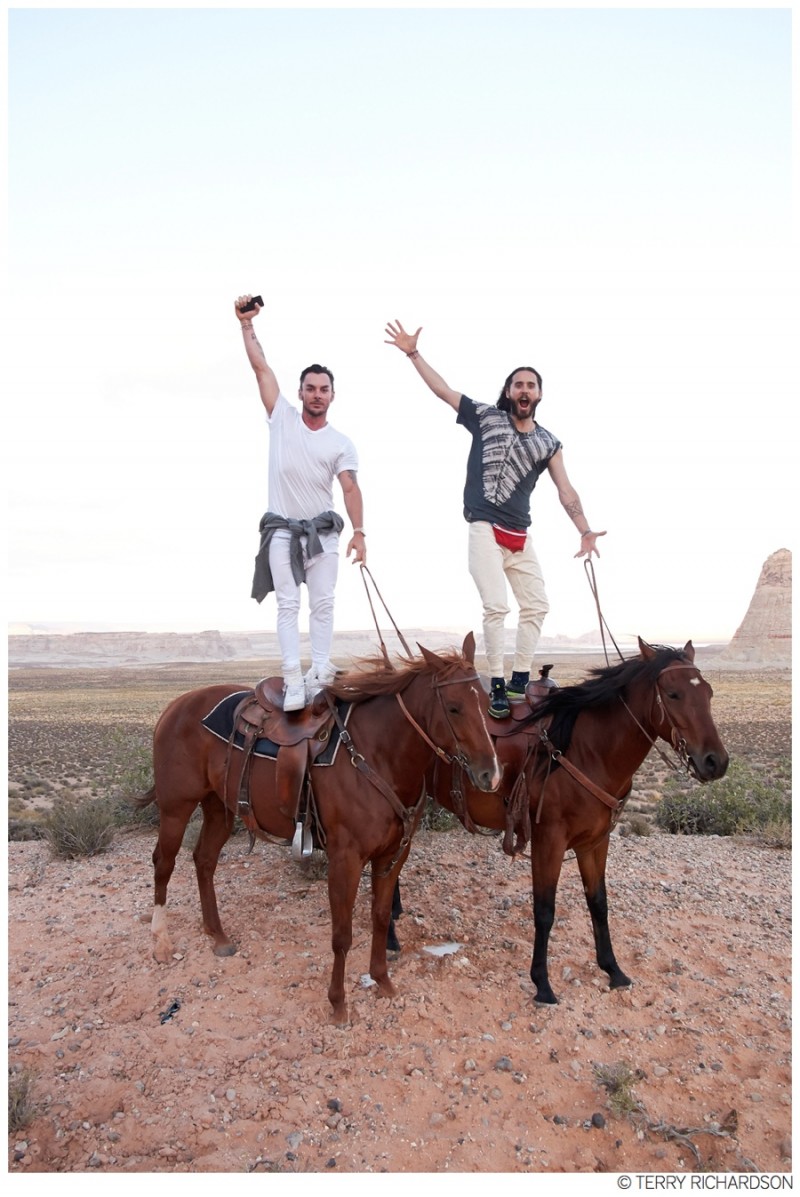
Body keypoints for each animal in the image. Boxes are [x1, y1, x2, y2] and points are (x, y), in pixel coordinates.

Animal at [137, 632, 500, 1024]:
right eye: (454, 707)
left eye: (487, 702)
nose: (491, 774)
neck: (379, 756)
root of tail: (175, 705)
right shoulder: (346, 858)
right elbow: (341, 934)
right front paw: (338, 1003)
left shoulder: (393, 855)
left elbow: (380, 918)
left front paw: (382, 981)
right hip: (176, 806)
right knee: (163, 863)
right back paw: (160, 942)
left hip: (219, 807)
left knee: (204, 860)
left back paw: (217, 935)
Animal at [421, 641, 728, 1005]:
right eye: (673, 694)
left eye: (708, 693)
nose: (716, 761)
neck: (587, 750)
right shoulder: (548, 842)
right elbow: (544, 911)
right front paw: (542, 984)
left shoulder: (595, 841)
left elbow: (598, 902)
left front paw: (613, 969)